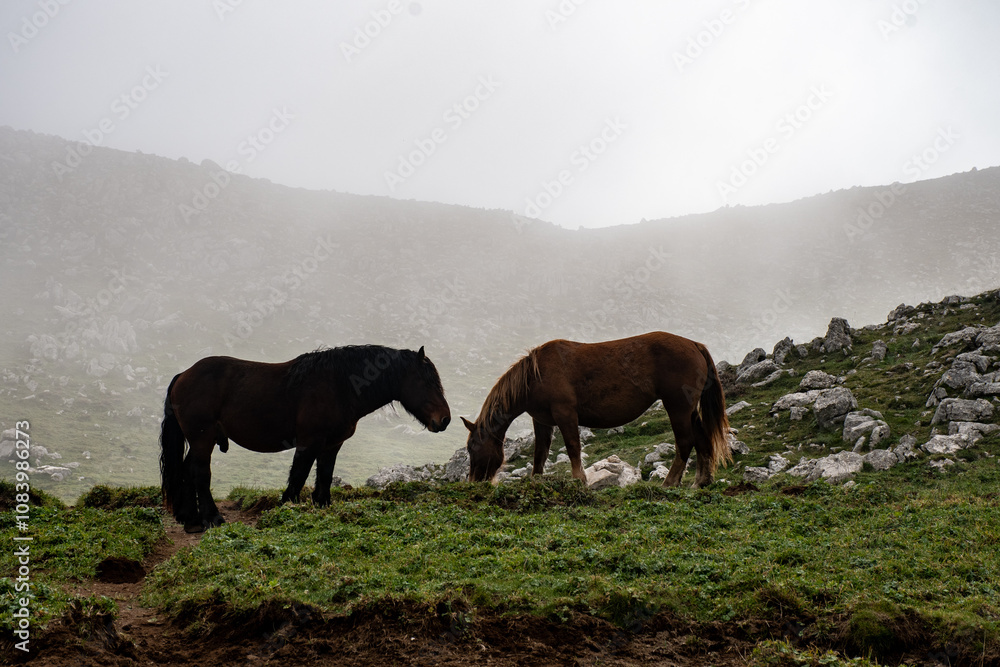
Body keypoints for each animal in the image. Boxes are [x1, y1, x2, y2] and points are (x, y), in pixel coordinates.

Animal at [160, 345, 451, 532]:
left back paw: (191, 520)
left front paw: (321, 507)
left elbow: (324, 477)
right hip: (203, 439)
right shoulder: (308, 443)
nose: (445, 419)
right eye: (427, 382)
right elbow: (298, 477)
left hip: (199, 441)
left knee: (186, 471)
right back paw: (212, 519)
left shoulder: (331, 445)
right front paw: (286, 509)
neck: (340, 386)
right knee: (200, 473)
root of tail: (183, 375)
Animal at [462, 332, 730, 487]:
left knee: (685, 442)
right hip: (689, 410)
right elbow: (540, 452)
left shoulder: (565, 414)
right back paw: (701, 482)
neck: (535, 376)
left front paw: (579, 480)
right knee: (702, 439)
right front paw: (536, 480)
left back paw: (670, 482)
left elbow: (573, 447)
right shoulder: (543, 420)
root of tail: (694, 345)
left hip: (677, 407)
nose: (475, 481)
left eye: (472, 447)